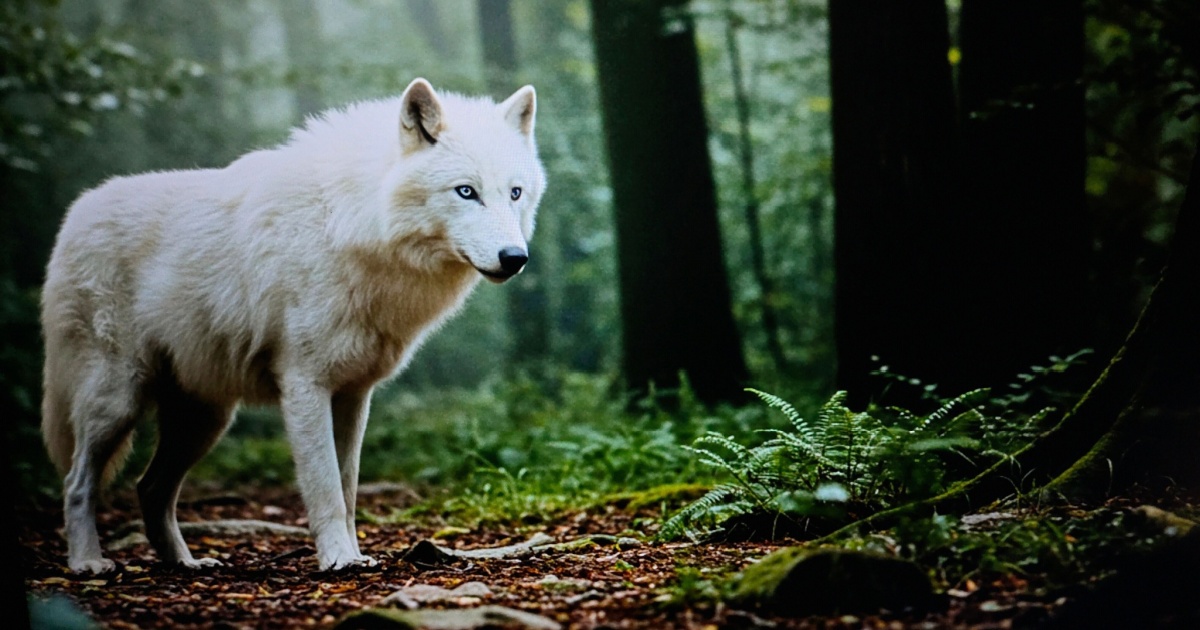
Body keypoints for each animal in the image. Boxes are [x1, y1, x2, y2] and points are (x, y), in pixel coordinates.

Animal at [40, 78, 544, 573]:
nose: (515, 258)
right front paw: (338, 559)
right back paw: (88, 563)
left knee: (150, 488)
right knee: (77, 481)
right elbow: (325, 487)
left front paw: (355, 555)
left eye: (515, 193)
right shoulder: (305, 384)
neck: (351, 223)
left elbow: (348, 487)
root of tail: (76, 214)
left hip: (204, 419)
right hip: (118, 400)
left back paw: (185, 563)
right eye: (466, 191)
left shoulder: (354, 394)